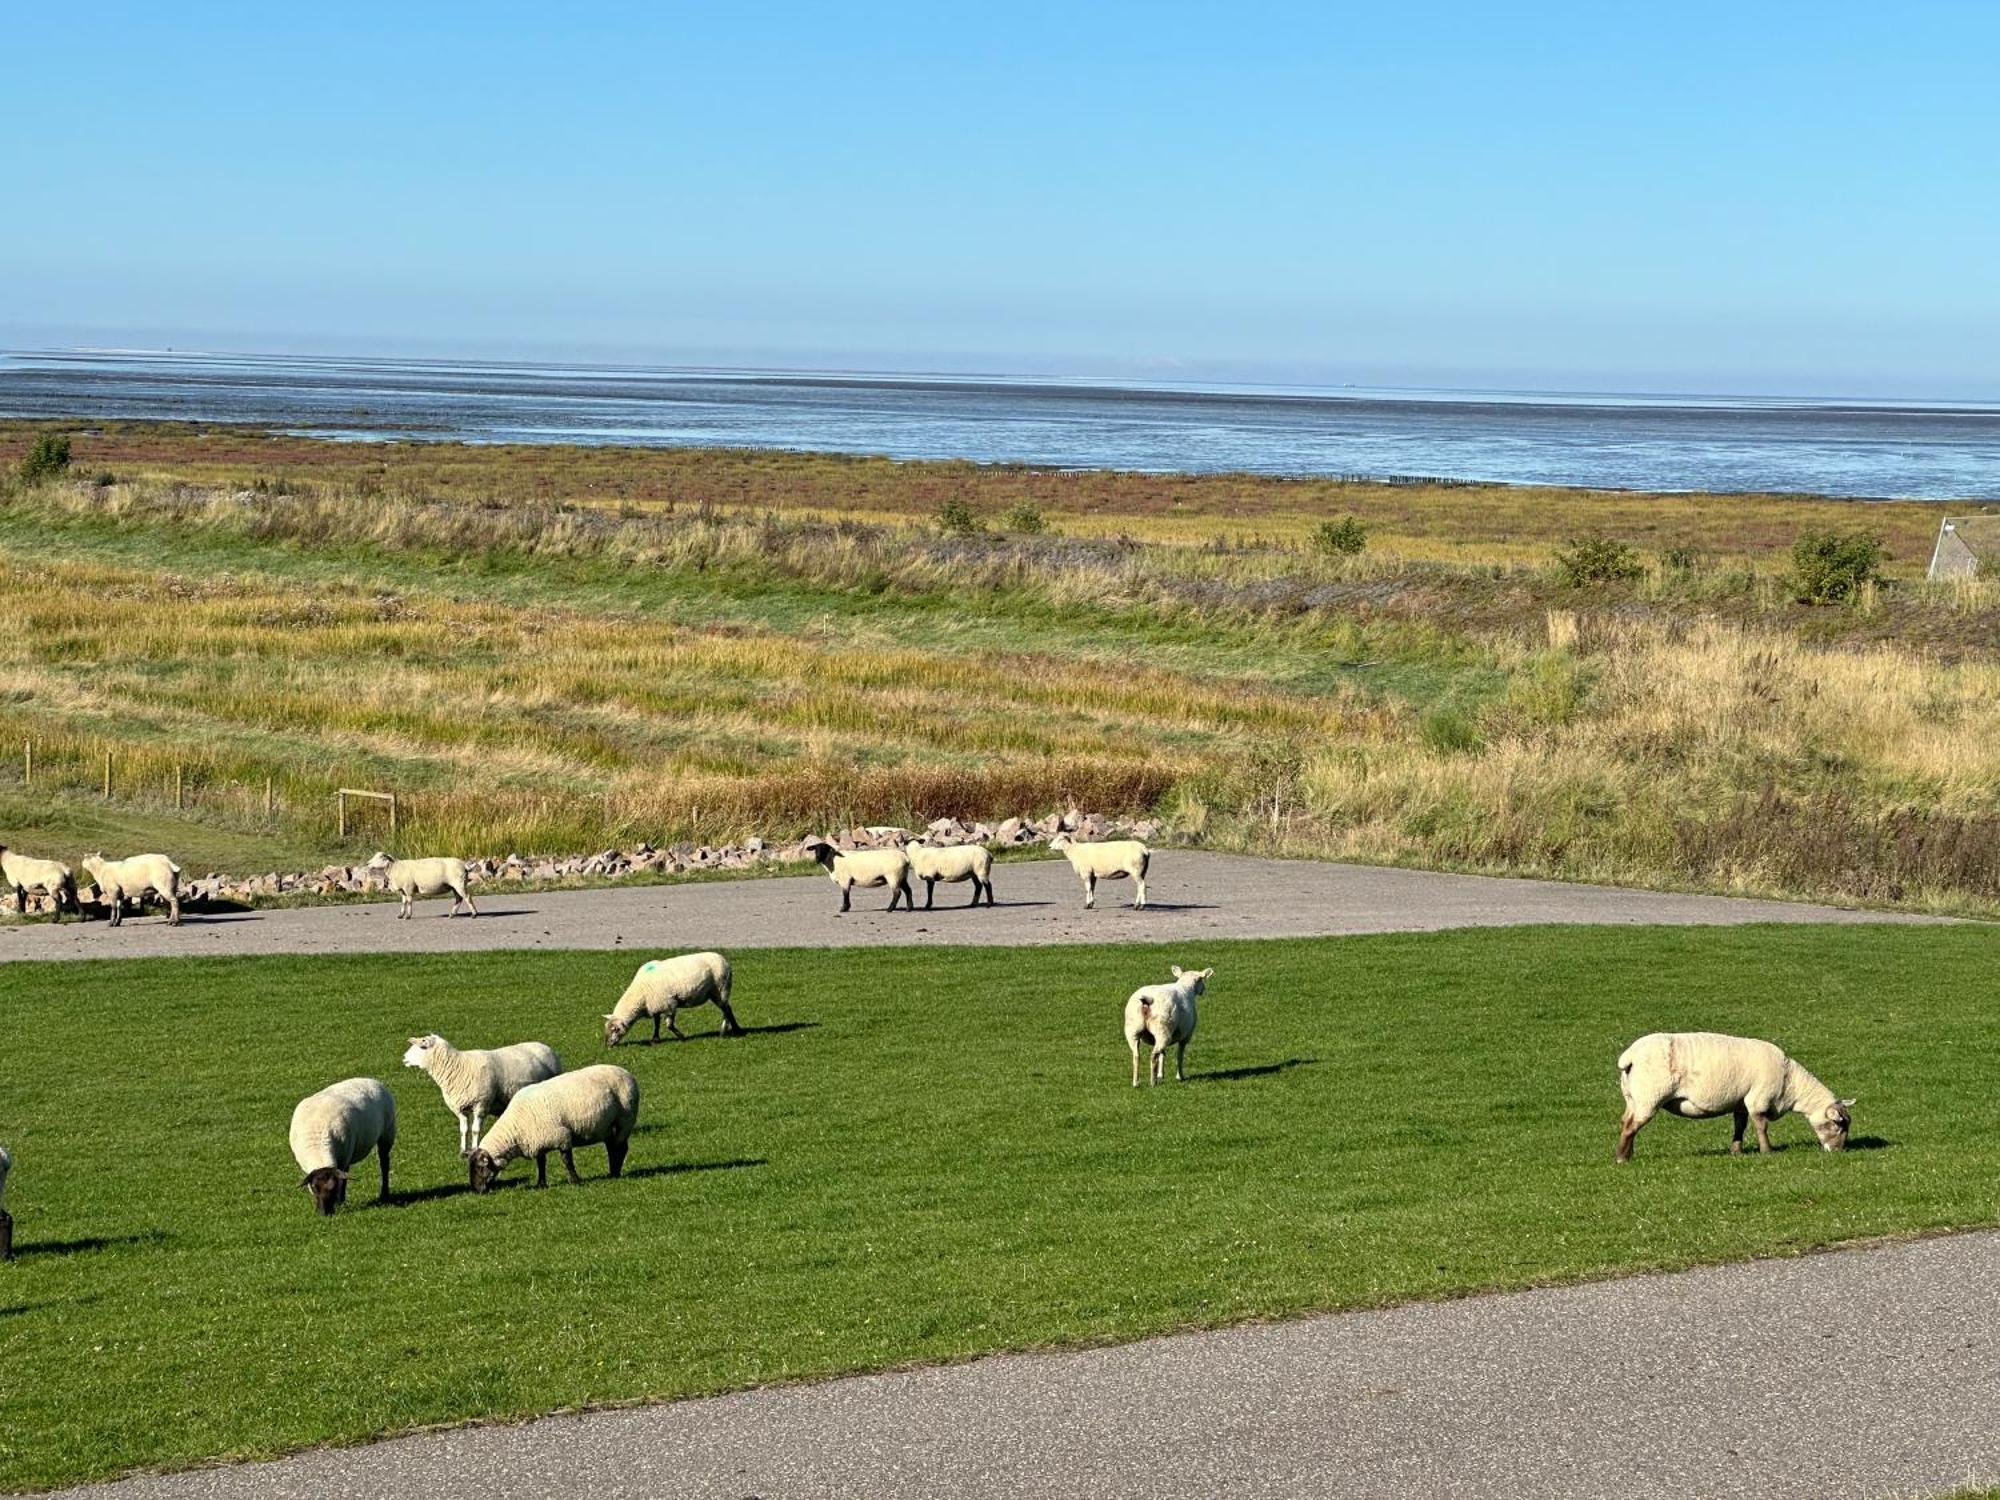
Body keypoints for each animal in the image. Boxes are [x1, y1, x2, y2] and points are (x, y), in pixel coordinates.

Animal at [288, 1072, 396, 1216]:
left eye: (333, 1188)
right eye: (315, 1188)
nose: (324, 1213)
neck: (319, 1145)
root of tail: (369, 1079)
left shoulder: (344, 1158)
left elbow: (343, 1180)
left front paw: (340, 1201)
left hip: (387, 1132)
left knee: (384, 1163)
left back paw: (384, 1194)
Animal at [402, 1032, 564, 1160]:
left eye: (420, 1047)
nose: (403, 1058)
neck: (458, 1066)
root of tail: (545, 1046)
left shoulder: (481, 1104)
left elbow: (475, 1130)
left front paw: (474, 1149)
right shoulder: (460, 1108)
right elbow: (463, 1130)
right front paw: (462, 1151)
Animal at [464, 1072, 636, 1200]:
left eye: (479, 1167)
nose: (477, 1190)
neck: (515, 1128)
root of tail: (626, 1073)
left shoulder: (562, 1137)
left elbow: (567, 1161)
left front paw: (575, 1181)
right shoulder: (539, 1142)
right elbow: (541, 1164)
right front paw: (541, 1184)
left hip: (625, 1119)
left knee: (621, 1148)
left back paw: (615, 1172)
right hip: (609, 1127)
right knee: (612, 1147)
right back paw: (612, 1171)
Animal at [604, 956, 748, 1048]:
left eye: (615, 1029)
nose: (607, 1045)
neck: (640, 993)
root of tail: (723, 959)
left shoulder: (670, 1004)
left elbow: (669, 1025)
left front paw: (682, 1037)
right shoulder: (656, 1005)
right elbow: (656, 1023)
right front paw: (655, 1039)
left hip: (721, 987)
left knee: (726, 1010)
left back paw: (723, 1032)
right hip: (714, 993)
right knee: (728, 1008)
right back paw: (736, 1029)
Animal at [1608, 1032, 1856, 1160]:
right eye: (1838, 1124)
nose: (1839, 1152)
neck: (1791, 1083)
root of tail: (1629, 1057)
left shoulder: (1741, 1102)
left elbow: (1740, 1126)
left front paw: (1736, 1151)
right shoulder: (1758, 1099)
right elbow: (1761, 1126)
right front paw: (1767, 1151)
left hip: (1633, 1097)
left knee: (1625, 1122)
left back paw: (1627, 1153)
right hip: (1649, 1096)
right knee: (1631, 1126)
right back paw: (1622, 1158)